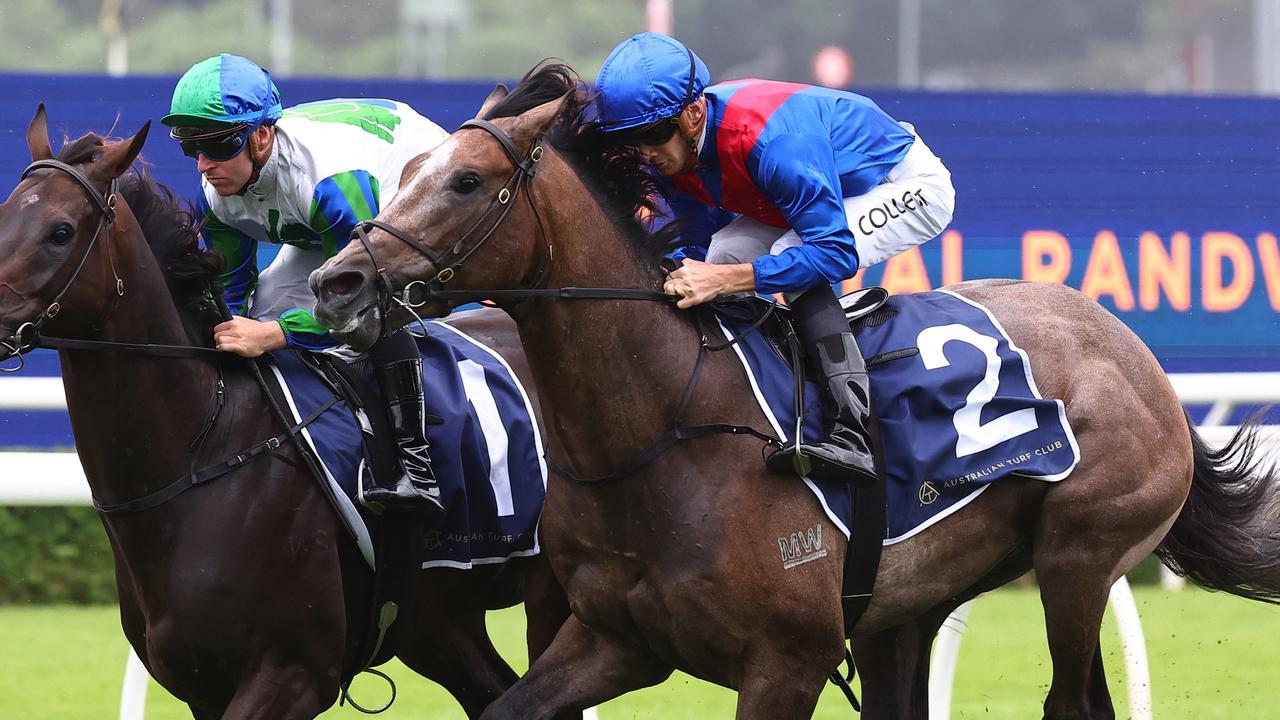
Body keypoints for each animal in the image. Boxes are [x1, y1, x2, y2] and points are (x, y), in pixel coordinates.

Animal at [0, 106, 570, 717]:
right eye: (3, 215)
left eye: (61, 231)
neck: (206, 453)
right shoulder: (202, 687)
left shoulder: (292, 674)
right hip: (438, 624)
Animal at [309, 64, 1280, 712]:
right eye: (403, 176)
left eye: (467, 181)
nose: (336, 283)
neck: (661, 430)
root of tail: (1133, 351)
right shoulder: (614, 638)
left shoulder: (786, 660)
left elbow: (823, 240)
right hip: (911, 605)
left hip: (1080, 555)